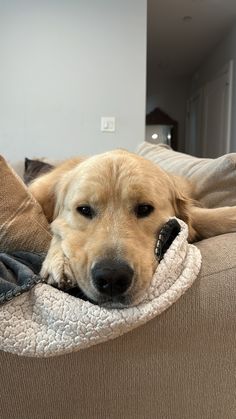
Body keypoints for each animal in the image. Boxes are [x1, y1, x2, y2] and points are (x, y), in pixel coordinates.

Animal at [29, 151, 236, 308]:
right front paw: (58, 260)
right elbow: (56, 229)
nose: (112, 278)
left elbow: (212, 217)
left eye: (144, 208)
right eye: (84, 209)